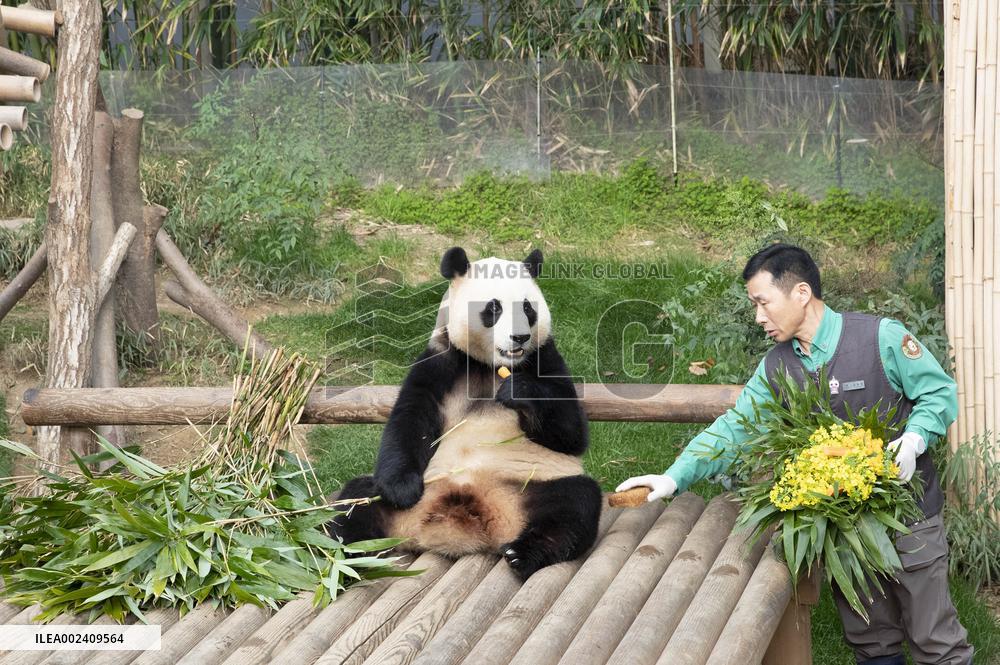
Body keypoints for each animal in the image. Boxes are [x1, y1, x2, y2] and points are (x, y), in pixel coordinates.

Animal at [327, 246, 602, 579]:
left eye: (528, 308)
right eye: (493, 308)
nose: (520, 338)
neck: (492, 366)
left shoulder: (545, 358)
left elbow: (572, 434)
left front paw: (518, 391)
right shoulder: (442, 360)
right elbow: (409, 419)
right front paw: (402, 489)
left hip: (531, 486)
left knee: (576, 504)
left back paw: (522, 554)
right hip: (409, 495)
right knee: (355, 503)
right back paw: (345, 560)